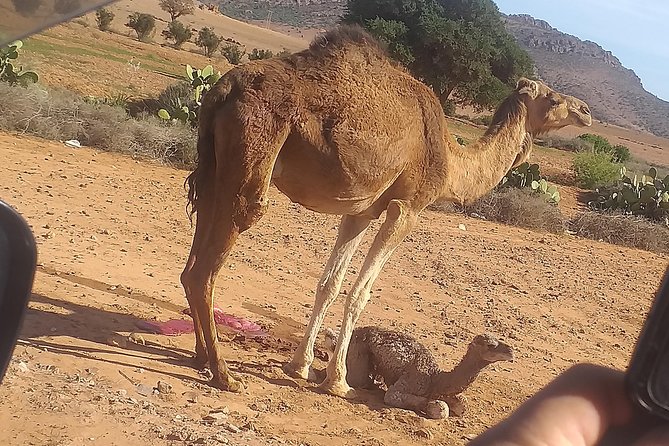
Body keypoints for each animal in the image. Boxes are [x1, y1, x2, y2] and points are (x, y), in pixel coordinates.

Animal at [179, 24, 588, 396]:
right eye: (553, 99)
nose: (584, 111)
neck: (451, 160)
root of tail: (222, 89)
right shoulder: (406, 208)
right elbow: (360, 293)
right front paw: (338, 381)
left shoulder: (361, 211)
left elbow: (329, 284)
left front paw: (300, 366)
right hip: (254, 154)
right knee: (211, 262)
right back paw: (224, 374)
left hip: (214, 168)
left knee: (194, 255)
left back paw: (201, 356)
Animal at [324, 328, 512, 418]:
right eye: (490, 345)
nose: (511, 352)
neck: (436, 378)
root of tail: (357, 331)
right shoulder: (406, 385)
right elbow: (441, 409)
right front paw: (433, 406)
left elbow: (461, 405)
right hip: (358, 353)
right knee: (358, 379)